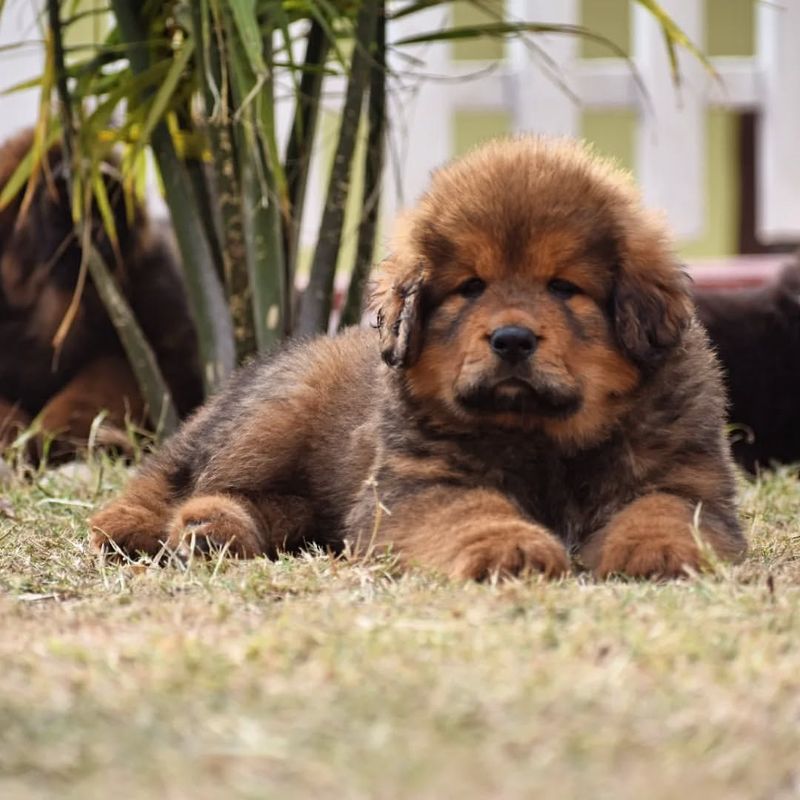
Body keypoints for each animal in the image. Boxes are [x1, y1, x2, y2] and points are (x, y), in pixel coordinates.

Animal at [90, 136, 748, 576]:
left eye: (564, 287)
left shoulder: (684, 478)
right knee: (182, 474)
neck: (541, 436)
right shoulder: (417, 488)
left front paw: (660, 552)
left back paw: (214, 529)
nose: (512, 339)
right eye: (471, 288)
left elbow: (665, 510)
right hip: (275, 414)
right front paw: (511, 547)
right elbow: (473, 510)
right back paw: (149, 527)